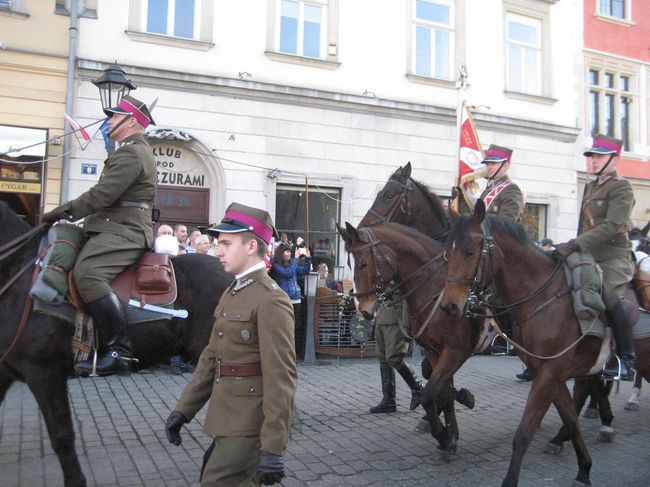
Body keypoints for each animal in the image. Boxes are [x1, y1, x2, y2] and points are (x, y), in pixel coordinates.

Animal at [336, 221, 484, 462]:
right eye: (349, 263)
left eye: (364, 263)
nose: (364, 310)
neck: (436, 288)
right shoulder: (435, 351)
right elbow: (443, 394)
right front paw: (450, 437)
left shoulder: (455, 351)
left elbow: (430, 395)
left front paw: (444, 435)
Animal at [438, 200, 644, 486]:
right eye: (447, 253)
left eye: (470, 252)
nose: (449, 306)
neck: (543, 298)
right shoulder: (548, 373)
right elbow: (571, 420)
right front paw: (583, 469)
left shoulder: (549, 374)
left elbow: (524, 432)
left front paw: (510, 480)